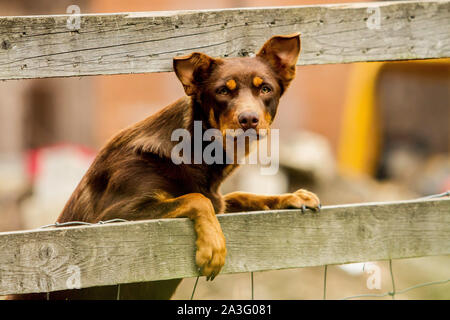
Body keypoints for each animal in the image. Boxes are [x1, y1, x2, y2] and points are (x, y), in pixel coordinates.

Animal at [10, 33, 320, 300]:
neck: (198, 151)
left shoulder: (221, 201)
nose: (249, 119)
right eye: (222, 91)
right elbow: (195, 199)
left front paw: (292, 196)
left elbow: (241, 195)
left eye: (265, 88)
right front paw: (213, 248)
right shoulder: (113, 219)